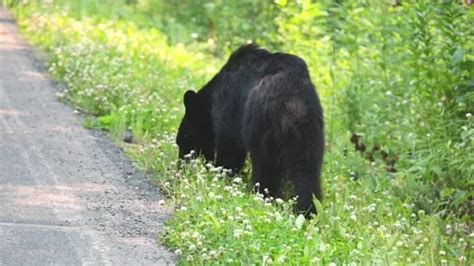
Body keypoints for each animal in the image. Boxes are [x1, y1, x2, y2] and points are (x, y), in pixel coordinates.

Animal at [176, 44, 324, 216]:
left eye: (182, 141)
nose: (180, 169)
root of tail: (292, 102)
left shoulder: (229, 102)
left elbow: (230, 144)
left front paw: (221, 173)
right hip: (309, 130)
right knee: (307, 170)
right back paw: (308, 209)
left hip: (262, 125)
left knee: (265, 165)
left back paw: (264, 195)